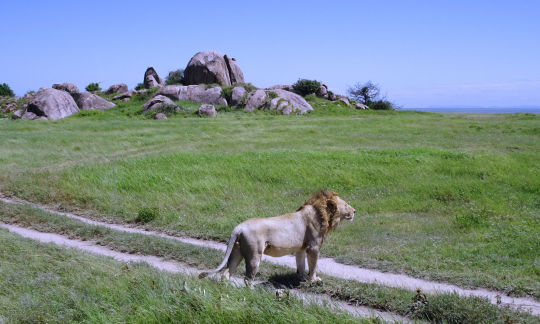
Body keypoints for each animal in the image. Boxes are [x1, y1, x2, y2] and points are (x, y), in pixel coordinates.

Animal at [200, 191, 356, 282]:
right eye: (346, 204)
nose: (355, 211)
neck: (322, 214)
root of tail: (239, 227)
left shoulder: (301, 248)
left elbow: (301, 264)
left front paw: (300, 278)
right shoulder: (313, 247)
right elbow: (313, 265)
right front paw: (313, 280)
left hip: (237, 252)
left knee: (226, 273)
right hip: (254, 255)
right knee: (247, 279)